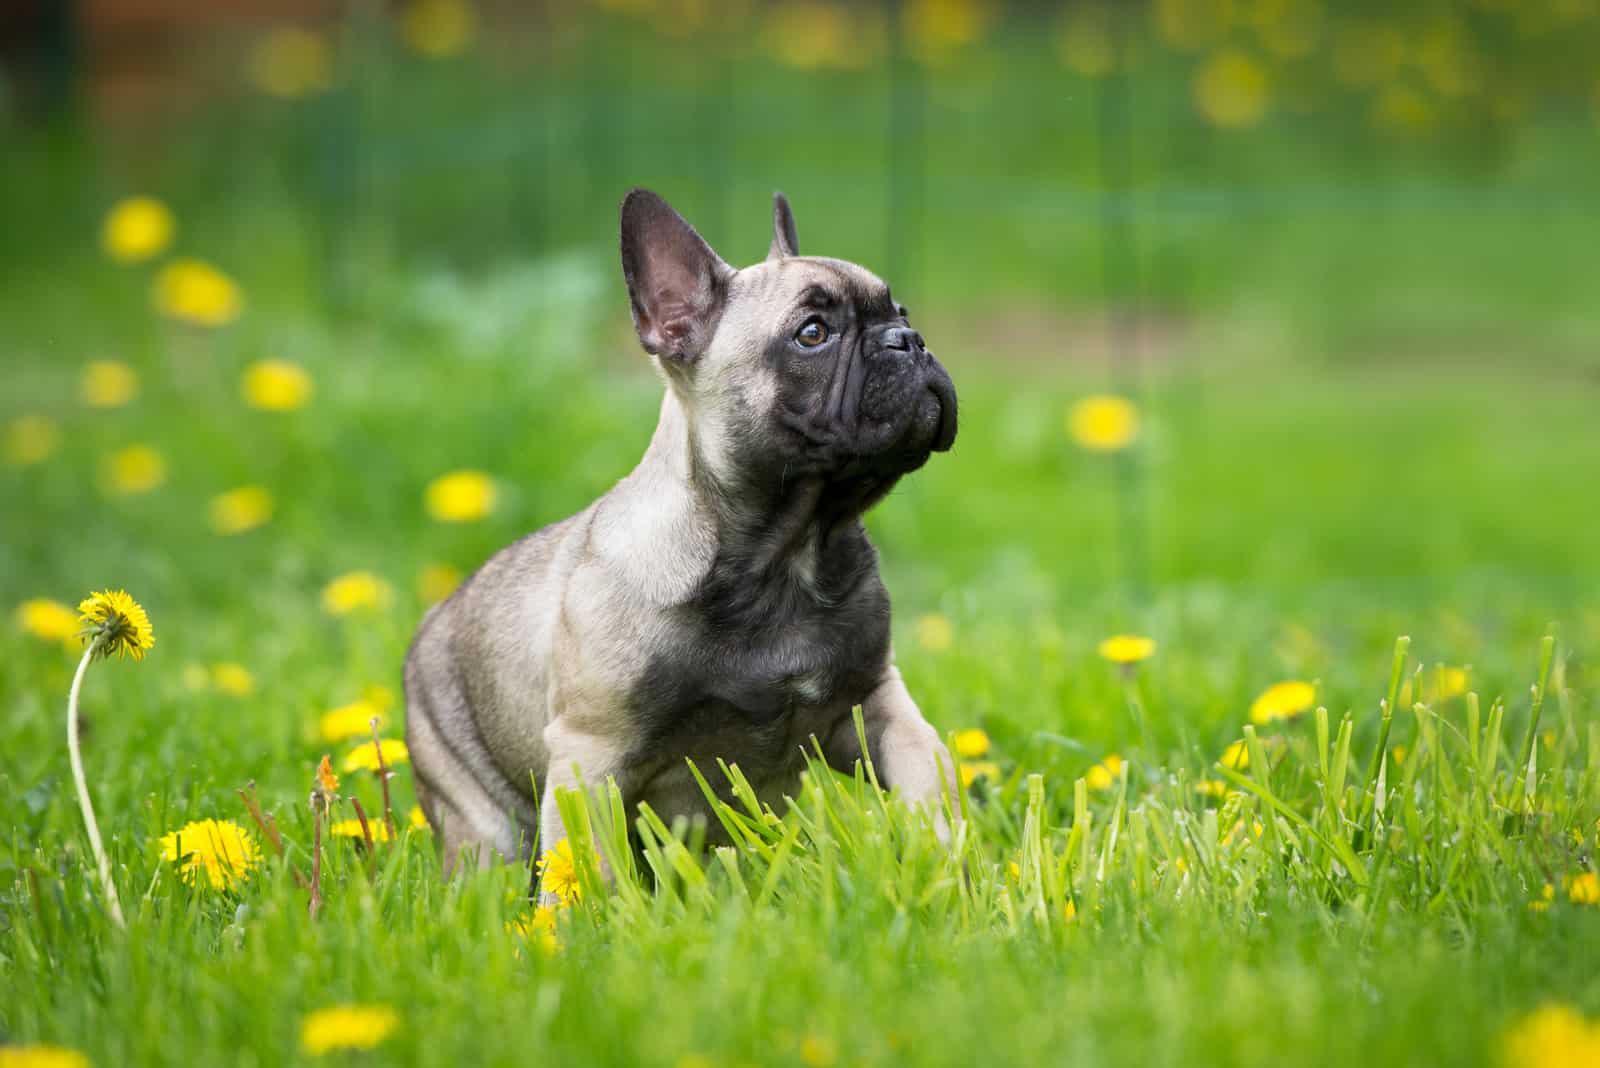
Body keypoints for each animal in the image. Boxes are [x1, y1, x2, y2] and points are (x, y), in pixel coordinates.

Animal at [406, 187, 960, 888]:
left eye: (902, 312)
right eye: (812, 334)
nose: (908, 340)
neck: (785, 554)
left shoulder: (874, 703)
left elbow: (927, 775)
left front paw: (947, 864)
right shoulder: (592, 756)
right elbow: (592, 866)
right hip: (479, 819)